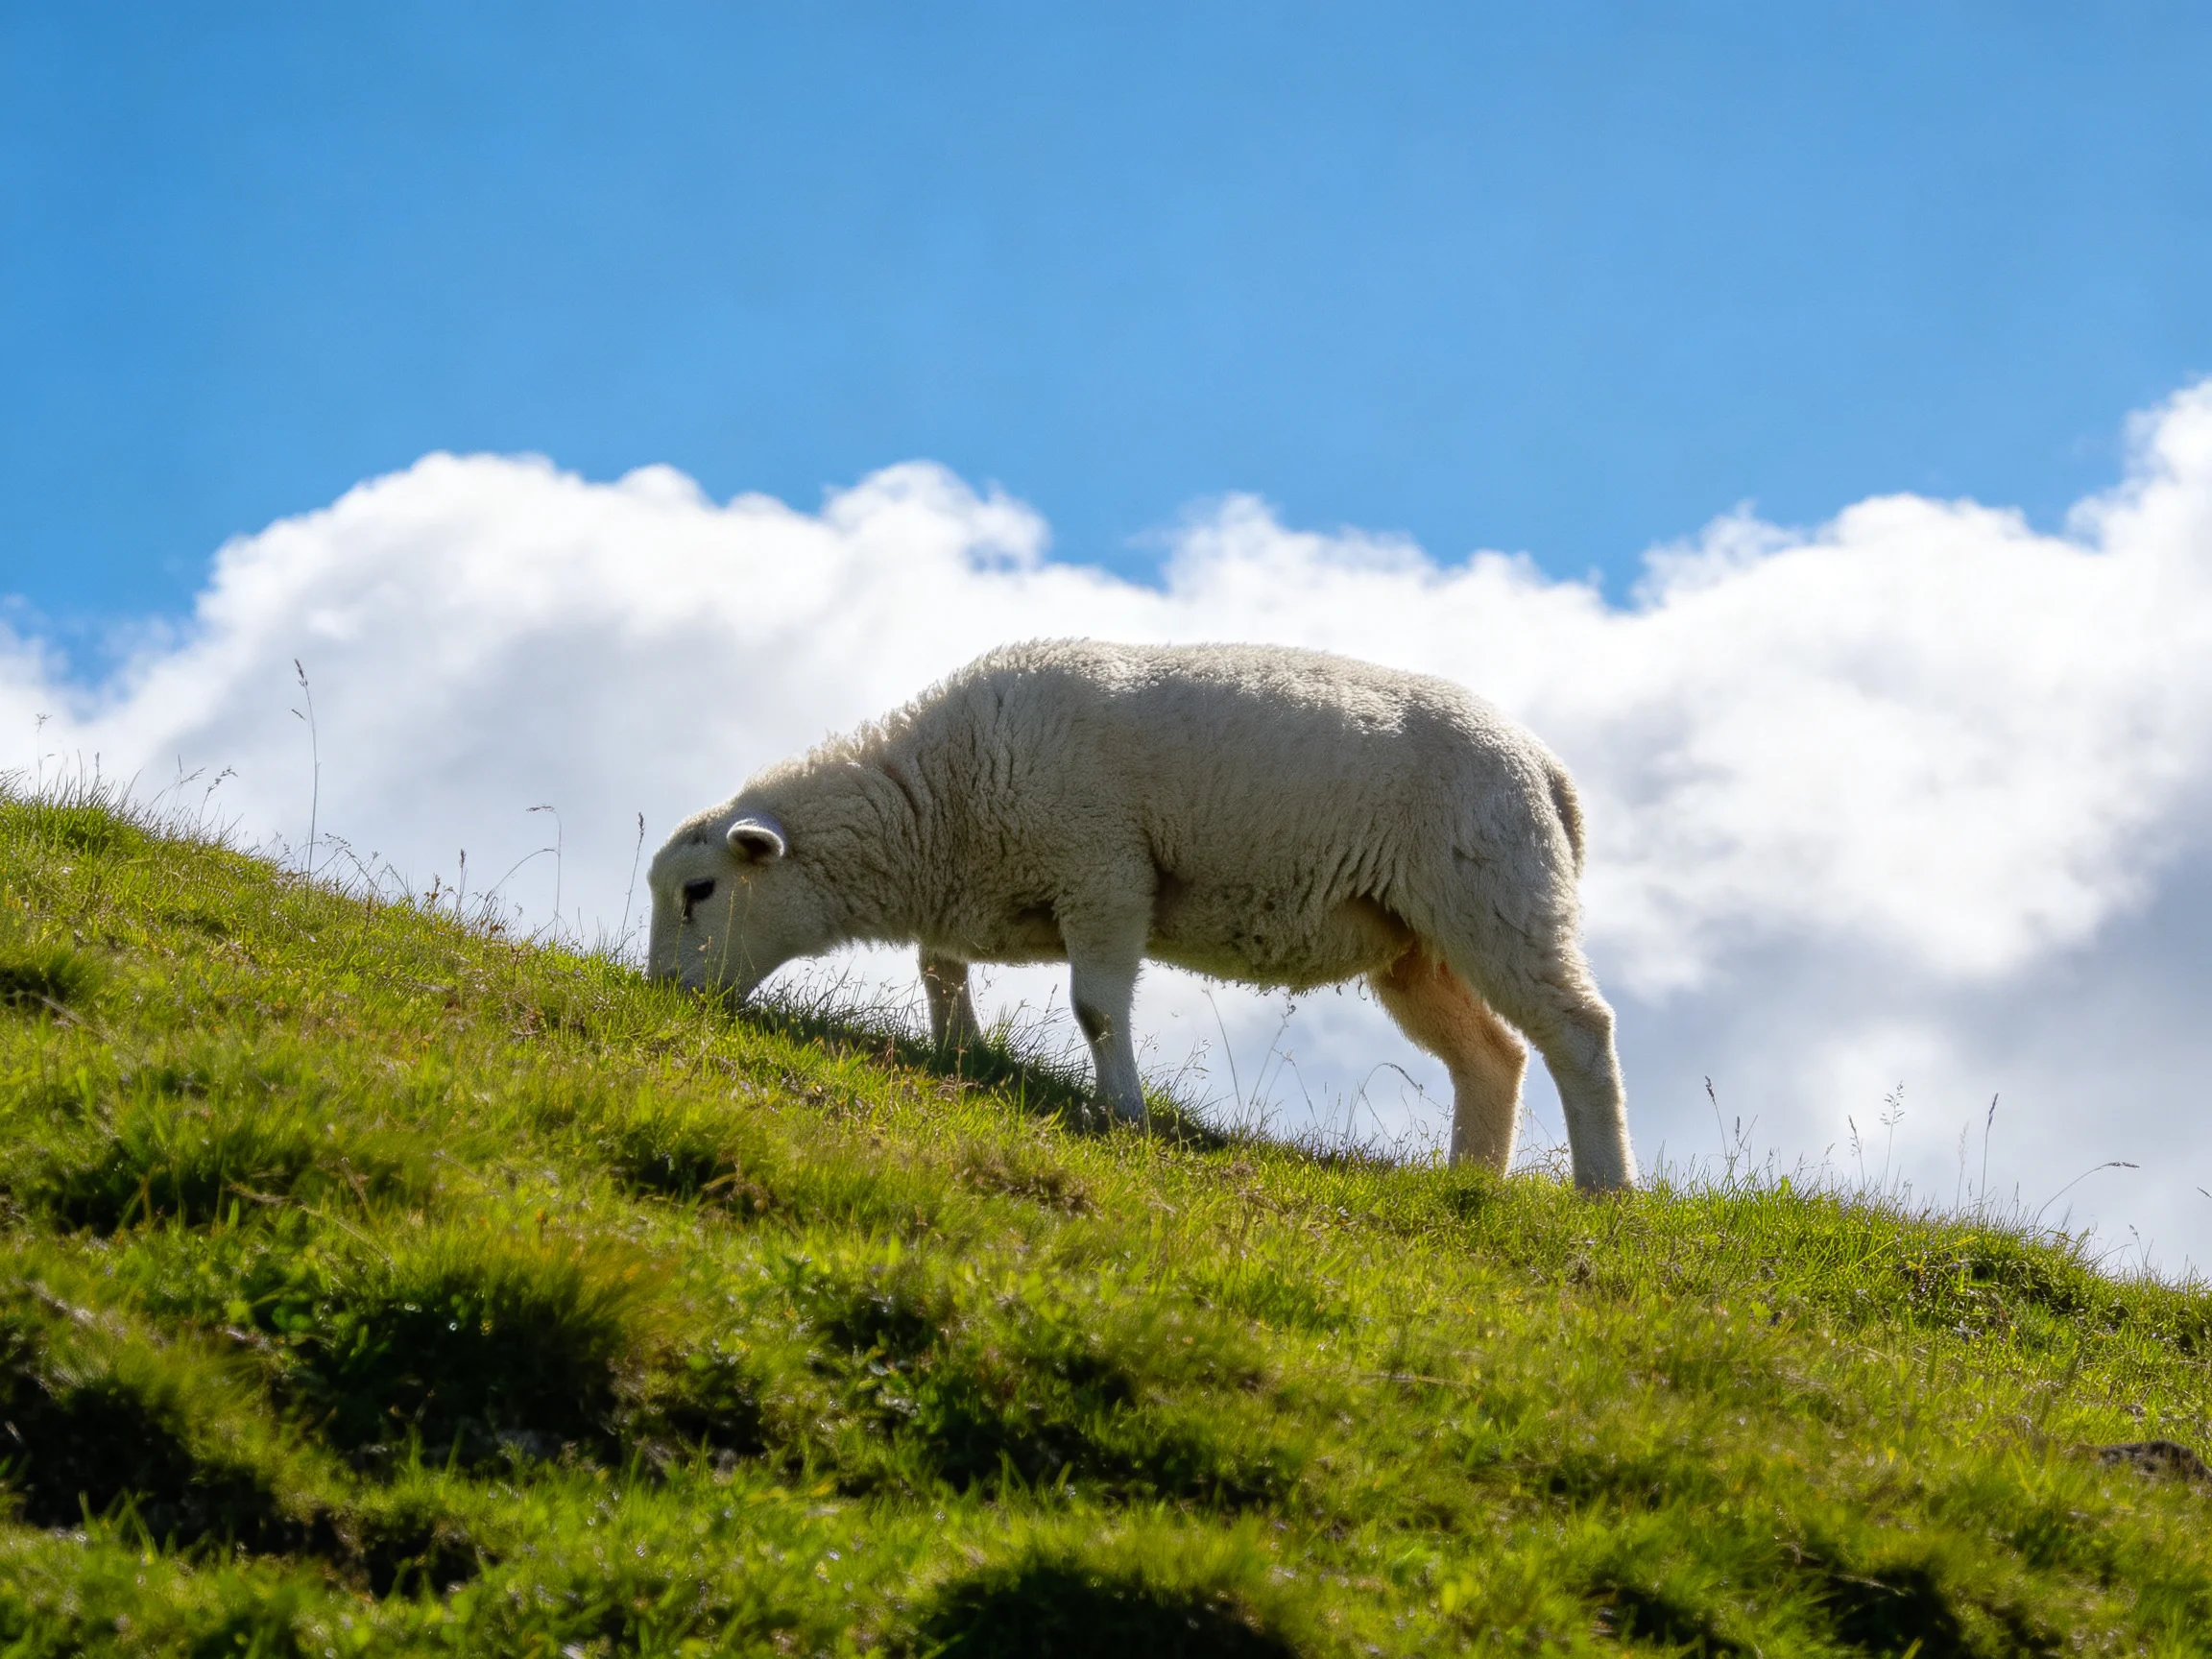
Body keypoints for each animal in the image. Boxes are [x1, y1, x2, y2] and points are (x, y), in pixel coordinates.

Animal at [647, 640, 1635, 1191]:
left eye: (699, 892)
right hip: (1415, 944)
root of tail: (1548, 770)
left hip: (1498, 896)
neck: (938, 804)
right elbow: (938, 969)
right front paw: (960, 1054)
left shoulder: (1105, 872)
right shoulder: (987, 889)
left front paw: (1123, 1112)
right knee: (1492, 1058)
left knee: (1580, 1034)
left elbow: (1094, 1009)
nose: (658, 994)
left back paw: (1605, 1192)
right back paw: (1471, 1185)